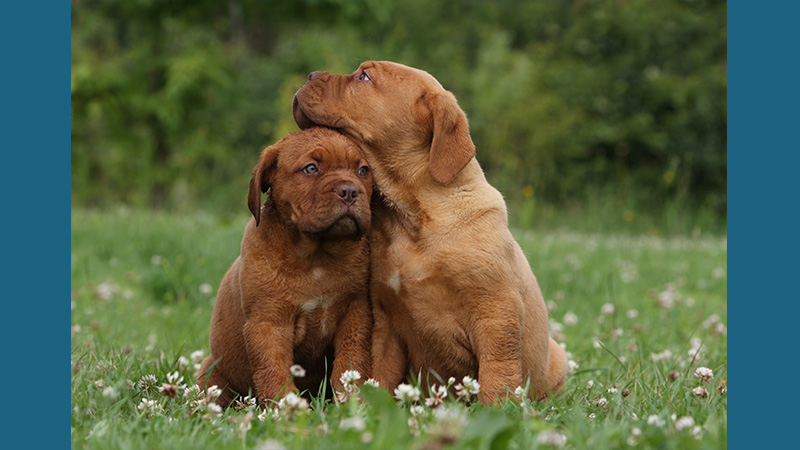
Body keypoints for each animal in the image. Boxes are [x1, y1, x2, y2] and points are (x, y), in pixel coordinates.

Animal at [198, 128, 376, 406]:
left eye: (363, 170)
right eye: (311, 168)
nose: (349, 191)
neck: (317, 257)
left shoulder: (354, 315)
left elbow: (349, 364)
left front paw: (351, 404)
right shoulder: (269, 323)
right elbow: (274, 372)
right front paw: (286, 408)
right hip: (212, 375)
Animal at [294, 59, 568, 404]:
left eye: (364, 76)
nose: (310, 75)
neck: (411, 216)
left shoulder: (495, 311)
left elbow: (497, 373)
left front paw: (497, 410)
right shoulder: (386, 322)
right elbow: (381, 374)